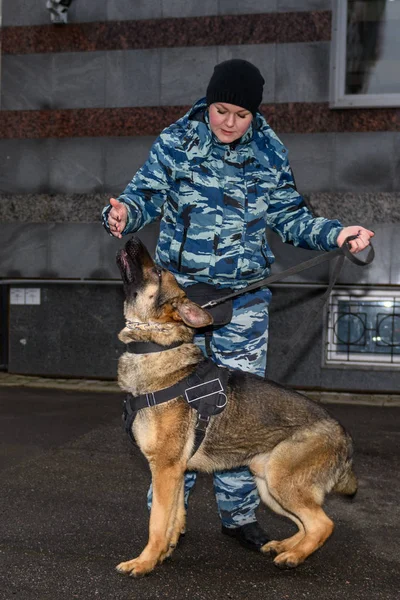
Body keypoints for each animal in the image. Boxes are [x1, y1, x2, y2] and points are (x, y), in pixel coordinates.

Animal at [115, 234, 356, 576]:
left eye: (158, 271)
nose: (132, 237)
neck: (157, 347)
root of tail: (344, 436)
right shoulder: (176, 473)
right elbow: (174, 516)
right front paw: (165, 550)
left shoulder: (164, 468)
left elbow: (157, 522)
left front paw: (145, 561)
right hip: (268, 483)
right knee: (306, 523)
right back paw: (284, 546)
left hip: (281, 480)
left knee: (323, 524)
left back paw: (293, 557)